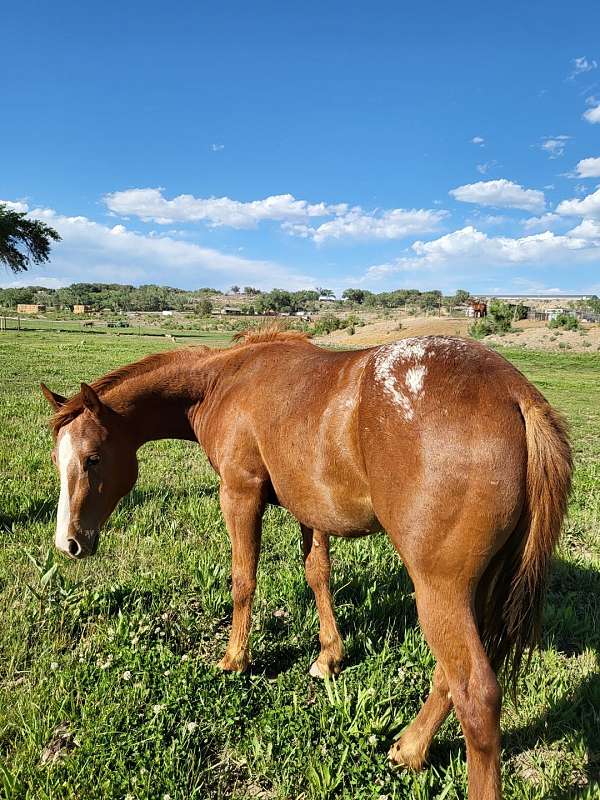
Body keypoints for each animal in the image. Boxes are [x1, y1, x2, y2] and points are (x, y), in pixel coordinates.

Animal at [42, 326, 572, 800]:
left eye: (91, 459)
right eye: (57, 459)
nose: (68, 543)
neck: (226, 380)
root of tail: (514, 393)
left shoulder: (240, 494)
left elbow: (244, 579)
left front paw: (235, 660)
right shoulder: (310, 510)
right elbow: (318, 576)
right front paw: (328, 657)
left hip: (439, 591)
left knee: (476, 698)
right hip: (470, 591)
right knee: (449, 678)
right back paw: (410, 749)